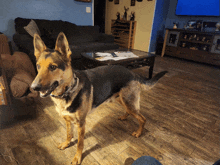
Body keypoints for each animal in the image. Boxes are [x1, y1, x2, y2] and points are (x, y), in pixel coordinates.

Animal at [31, 31, 168, 164]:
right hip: (121, 99)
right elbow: (69, 135)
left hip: (128, 102)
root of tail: (132, 73)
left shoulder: (81, 124)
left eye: (53, 67)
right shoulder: (67, 120)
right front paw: (66, 144)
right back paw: (124, 117)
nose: (33, 87)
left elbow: (80, 143)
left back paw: (139, 133)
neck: (68, 90)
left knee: (142, 119)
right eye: (38, 66)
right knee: (130, 112)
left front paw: (77, 157)